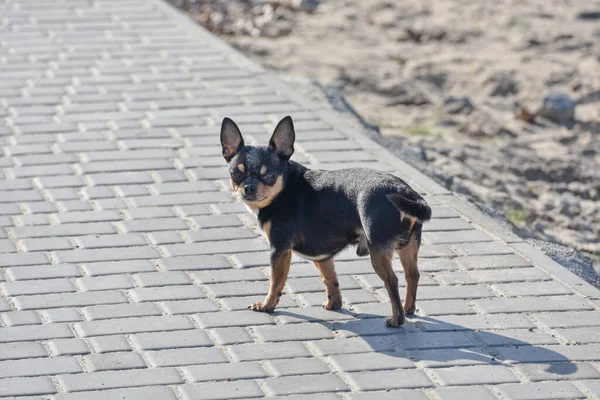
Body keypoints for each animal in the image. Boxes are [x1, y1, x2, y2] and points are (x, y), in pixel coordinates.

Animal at [220, 116, 432, 328]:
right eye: (235, 174)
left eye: (269, 176)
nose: (249, 187)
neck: (284, 189)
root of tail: (406, 191)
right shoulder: (322, 256)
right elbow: (329, 278)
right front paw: (334, 304)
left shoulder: (279, 250)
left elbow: (275, 282)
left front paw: (267, 305)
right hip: (408, 246)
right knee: (412, 274)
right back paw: (408, 308)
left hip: (378, 250)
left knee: (392, 280)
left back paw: (397, 319)